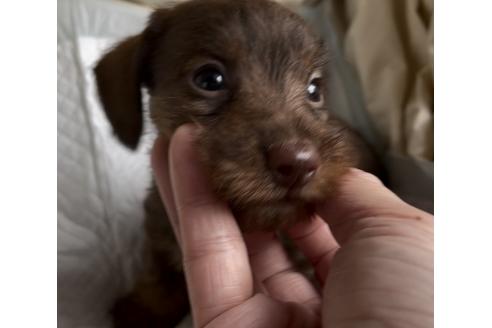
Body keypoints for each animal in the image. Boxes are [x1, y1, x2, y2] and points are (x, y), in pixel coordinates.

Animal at [95, 1, 376, 326]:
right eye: (209, 79)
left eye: (314, 89)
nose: (299, 163)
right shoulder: (158, 228)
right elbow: (158, 276)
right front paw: (142, 311)